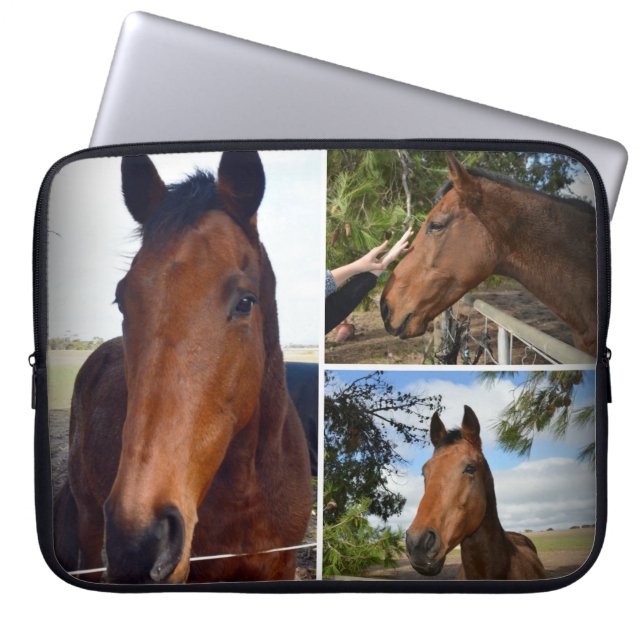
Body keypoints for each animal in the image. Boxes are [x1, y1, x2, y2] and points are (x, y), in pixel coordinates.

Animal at [53, 151, 312, 583]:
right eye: (121, 300)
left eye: (245, 301)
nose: (139, 543)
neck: (247, 492)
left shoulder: (281, 564)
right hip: (89, 523)